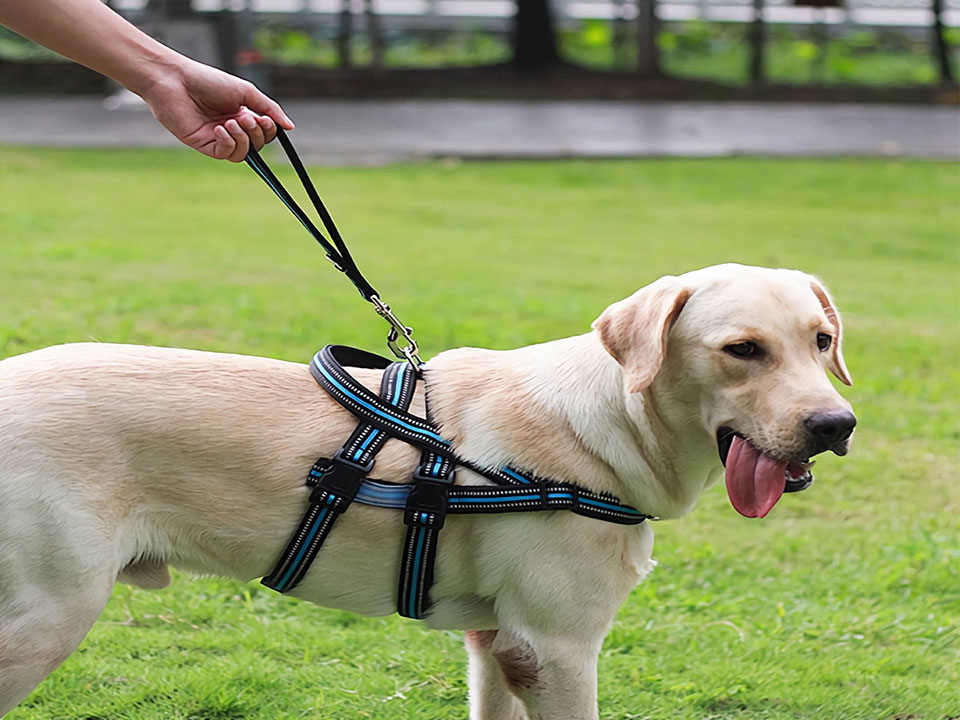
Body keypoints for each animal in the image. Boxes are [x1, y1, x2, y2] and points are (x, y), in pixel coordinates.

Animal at [0, 262, 856, 716]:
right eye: (742, 350)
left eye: (822, 341)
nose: (835, 424)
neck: (609, 421)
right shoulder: (557, 649)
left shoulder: (499, 646)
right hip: (46, 616)